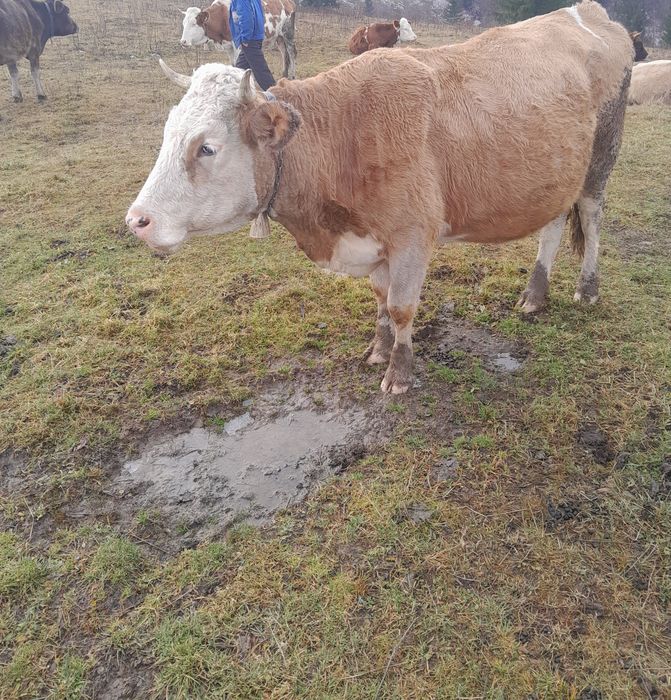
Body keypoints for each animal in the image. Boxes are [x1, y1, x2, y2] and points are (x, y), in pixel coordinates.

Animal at [127, 1, 634, 394]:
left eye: (206, 147)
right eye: (168, 134)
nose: (137, 220)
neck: (344, 133)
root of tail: (586, 12)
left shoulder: (412, 235)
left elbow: (401, 304)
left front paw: (400, 372)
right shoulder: (374, 240)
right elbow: (380, 297)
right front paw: (379, 348)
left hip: (600, 158)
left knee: (591, 217)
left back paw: (587, 288)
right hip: (556, 173)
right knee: (552, 226)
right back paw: (535, 292)